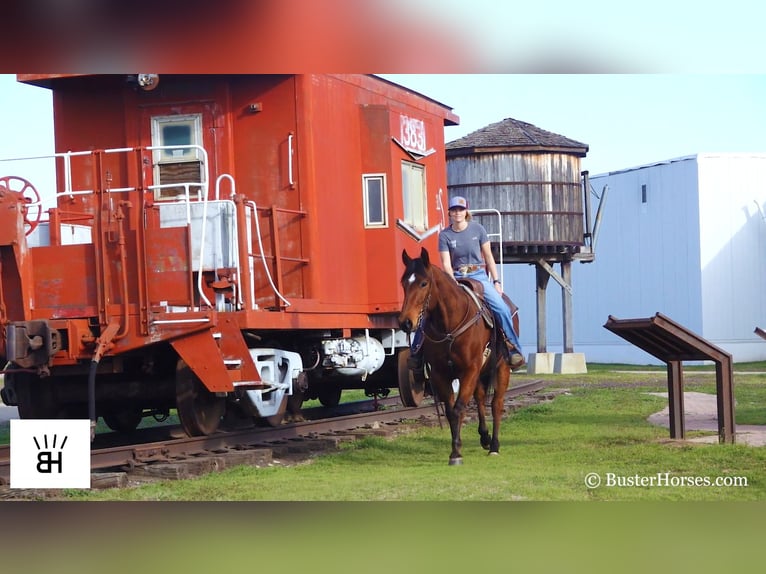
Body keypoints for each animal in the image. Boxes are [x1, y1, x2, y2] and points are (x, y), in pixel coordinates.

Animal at [400, 248, 512, 468]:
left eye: (423, 283)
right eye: (403, 283)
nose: (405, 323)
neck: (450, 325)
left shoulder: (469, 369)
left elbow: (459, 407)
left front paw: (457, 452)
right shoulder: (441, 374)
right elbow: (451, 410)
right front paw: (455, 451)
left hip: (502, 367)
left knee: (496, 403)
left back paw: (494, 446)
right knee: (479, 398)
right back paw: (484, 438)